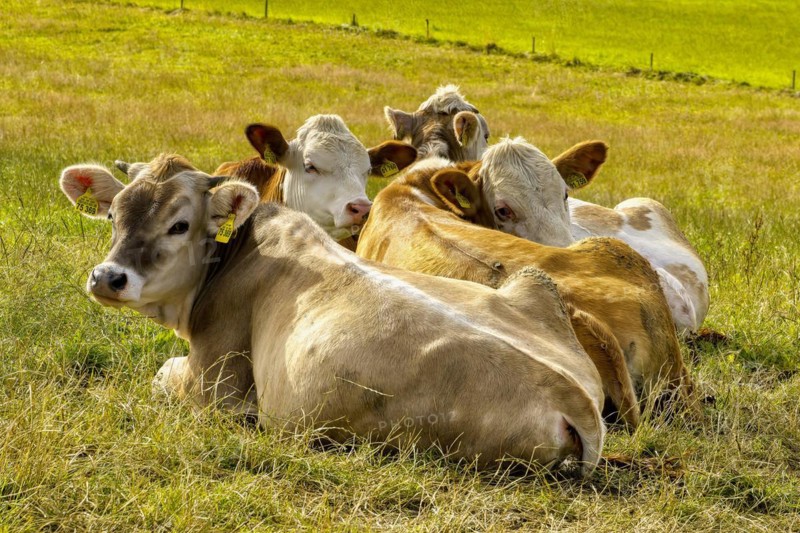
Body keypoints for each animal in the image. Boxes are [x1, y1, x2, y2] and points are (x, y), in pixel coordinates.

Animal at [59, 159, 608, 474]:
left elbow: (162, 375)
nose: (108, 277)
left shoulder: (212, 388)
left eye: (179, 224)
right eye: (114, 215)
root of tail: (574, 394)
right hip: (533, 284)